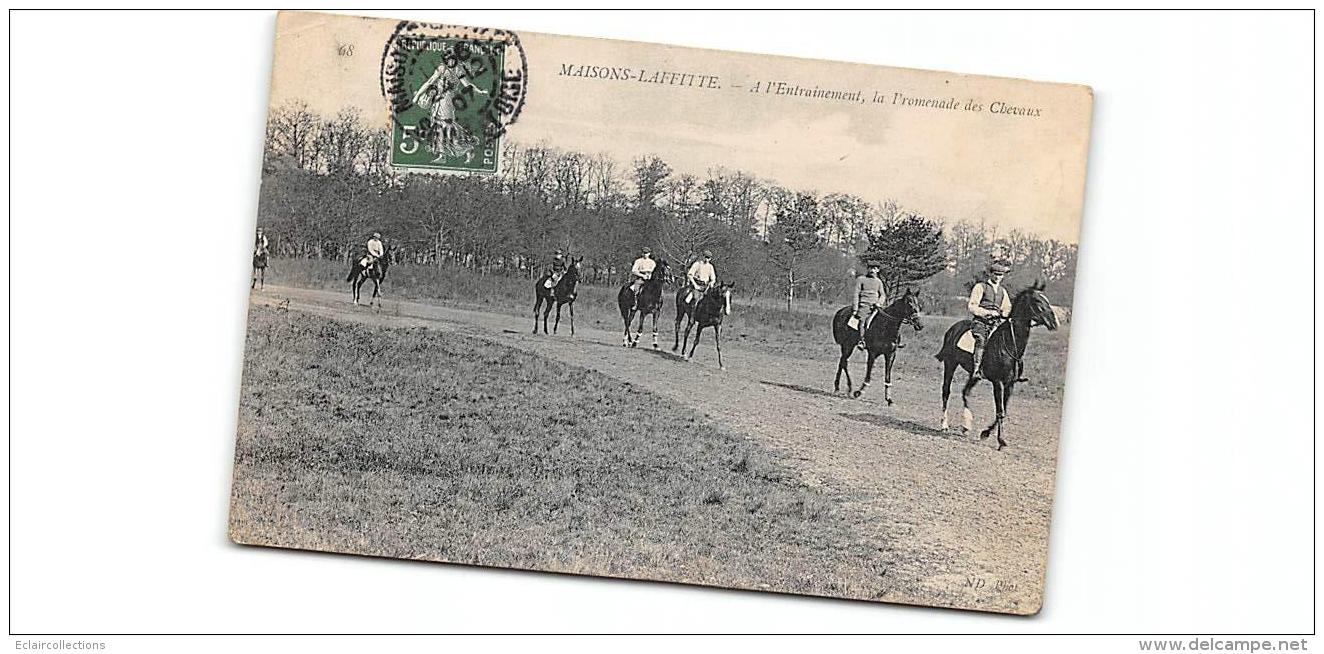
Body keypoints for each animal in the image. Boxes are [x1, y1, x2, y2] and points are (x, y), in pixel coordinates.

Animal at [937, 280, 1059, 450]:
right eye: (1037, 301)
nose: (1054, 323)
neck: (1009, 343)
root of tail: (952, 329)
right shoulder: (998, 382)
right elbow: (1000, 411)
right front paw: (1000, 440)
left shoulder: (1010, 384)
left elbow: (1004, 410)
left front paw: (986, 433)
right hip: (950, 364)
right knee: (946, 392)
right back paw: (944, 425)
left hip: (973, 375)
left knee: (965, 392)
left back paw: (966, 425)